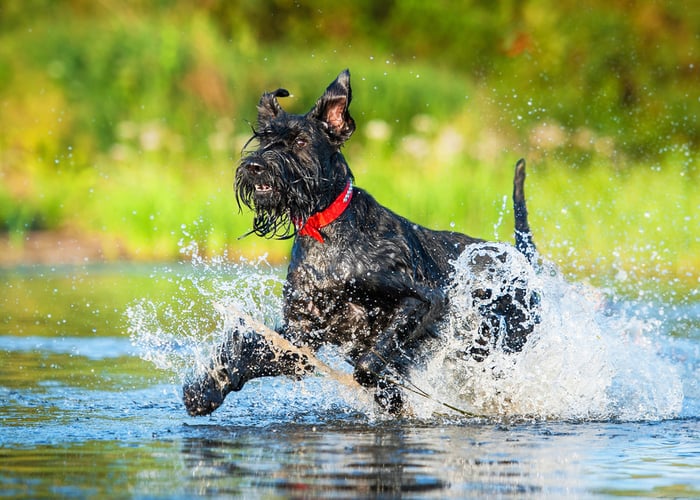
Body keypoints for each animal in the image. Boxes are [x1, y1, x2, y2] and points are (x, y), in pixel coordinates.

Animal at [183, 68, 540, 416]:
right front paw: (205, 390)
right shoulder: (302, 336)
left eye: (300, 140)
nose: (255, 166)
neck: (326, 234)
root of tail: (522, 260)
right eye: (264, 138)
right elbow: (248, 353)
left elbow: (372, 360)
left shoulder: (423, 299)